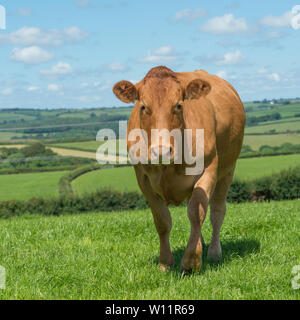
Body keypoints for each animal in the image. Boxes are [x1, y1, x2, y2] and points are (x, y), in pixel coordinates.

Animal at [113, 65, 246, 272]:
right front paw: (165, 262)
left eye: (178, 105)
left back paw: (214, 252)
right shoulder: (143, 179)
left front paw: (191, 262)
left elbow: (197, 213)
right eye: (143, 106)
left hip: (228, 170)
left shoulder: (209, 168)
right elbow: (162, 220)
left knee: (216, 211)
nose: (161, 151)